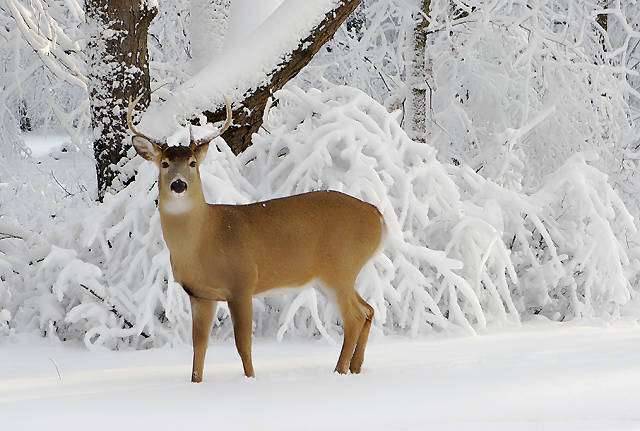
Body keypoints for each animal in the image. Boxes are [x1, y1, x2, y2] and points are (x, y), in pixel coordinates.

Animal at [125, 96, 384, 384]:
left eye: (193, 162)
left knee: (354, 317)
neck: (205, 238)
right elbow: (199, 345)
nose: (179, 185)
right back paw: (355, 368)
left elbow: (243, 344)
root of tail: (378, 216)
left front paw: (250, 380)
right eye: (164, 164)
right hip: (332, 277)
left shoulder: (242, 282)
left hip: (340, 268)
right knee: (368, 310)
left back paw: (339, 371)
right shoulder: (200, 294)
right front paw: (196, 383)